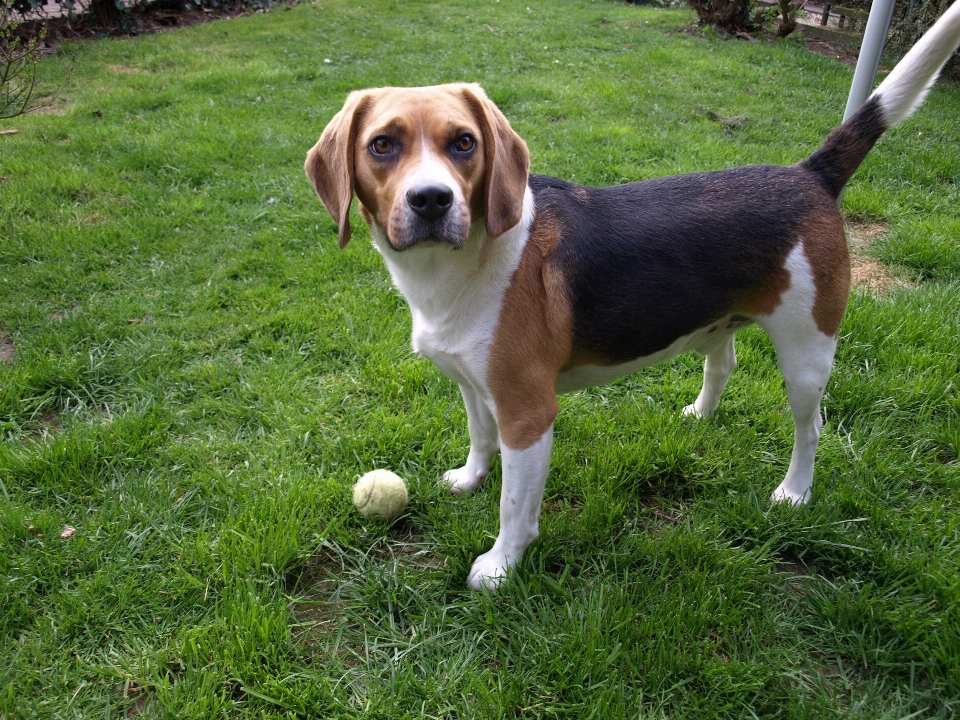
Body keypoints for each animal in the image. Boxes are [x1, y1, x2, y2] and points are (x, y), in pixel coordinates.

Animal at [306, 7, 960, 592]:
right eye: (382, 145)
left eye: (464, 143)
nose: (432, 200)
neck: (458, 268)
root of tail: (809, 174)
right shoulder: (473, 384)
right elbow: (479, 438)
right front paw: (470, 478)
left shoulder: (528, 413)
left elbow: (515, 506)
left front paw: (500, 566)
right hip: (723, 324)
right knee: (723, 363)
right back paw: (701, 414)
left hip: (807, 352)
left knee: (811, 426)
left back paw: (794, 493)